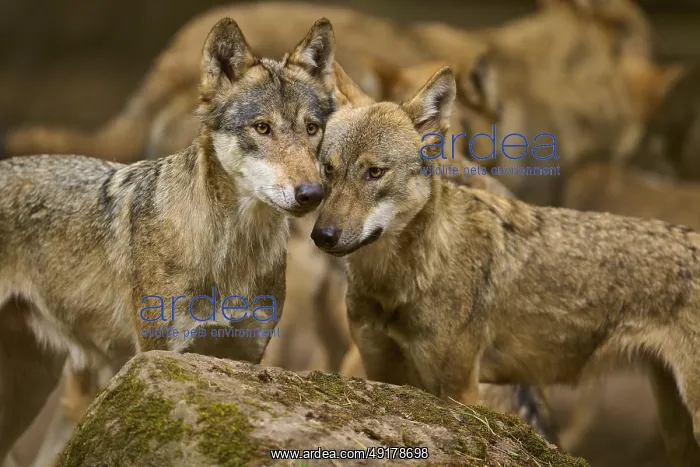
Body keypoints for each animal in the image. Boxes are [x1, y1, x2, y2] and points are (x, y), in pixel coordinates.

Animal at [0, 16, 338, 463]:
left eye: (311, 129)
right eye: (262, 128)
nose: (312, 194)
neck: (229, 253)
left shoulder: (247, 358)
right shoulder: (159, 352)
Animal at [311, 62, 700, 467]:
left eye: (375, 173)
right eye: (329, 169)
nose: (323, 235)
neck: (397, 284)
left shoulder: (460, 389)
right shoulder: (380, 371)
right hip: (677, 430)